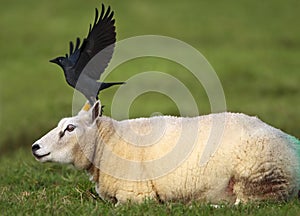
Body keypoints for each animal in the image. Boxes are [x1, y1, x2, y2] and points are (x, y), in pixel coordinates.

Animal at [31, 100, 298, 205]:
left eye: (70, 128)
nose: (35, 147)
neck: (107, 145)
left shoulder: (136, 195)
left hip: (259, 175)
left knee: (246, 204)